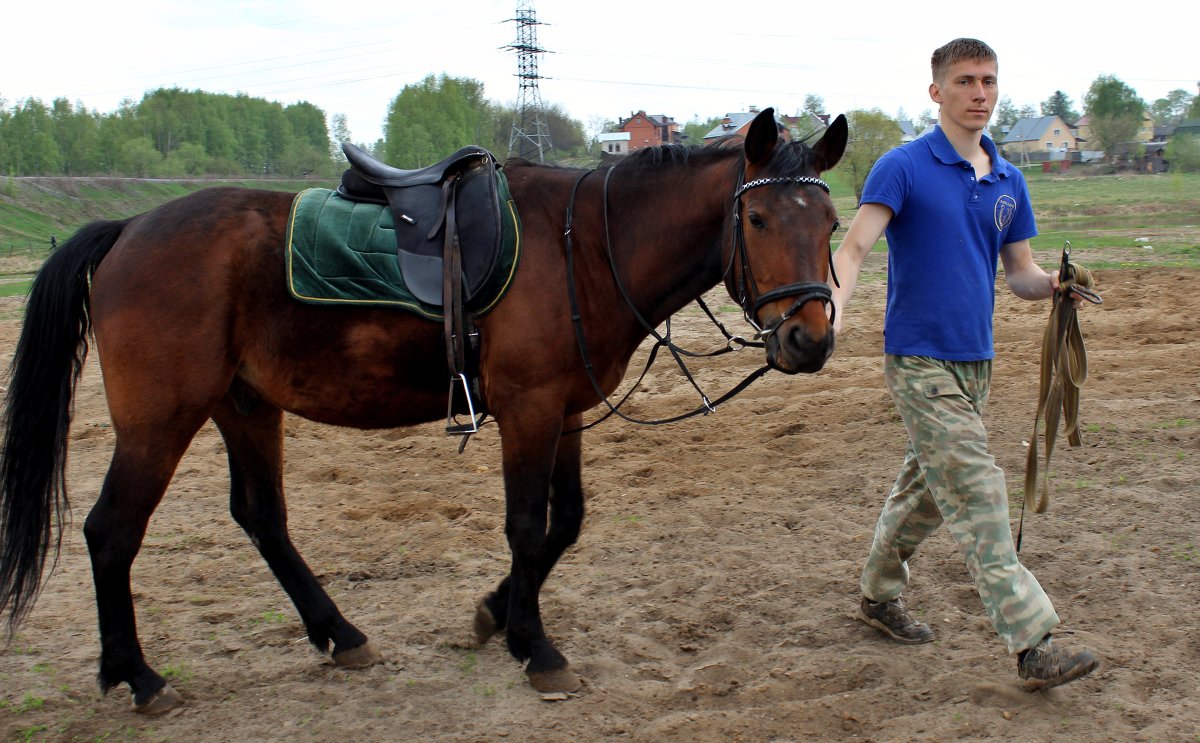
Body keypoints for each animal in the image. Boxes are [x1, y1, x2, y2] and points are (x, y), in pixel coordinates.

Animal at [0, 107, 849, 710]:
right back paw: (138, 675)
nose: (808, 340)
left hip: (243, 405)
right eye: (759, 219)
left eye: (831, 223)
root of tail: (129, 229)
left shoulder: (567, 409)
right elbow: (528, 525)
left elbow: (567, 522)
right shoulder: (530, 409)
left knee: (261, 517)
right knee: (112, 530)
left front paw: (496, 614)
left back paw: (338, 633)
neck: (580, 246)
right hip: (160, 419)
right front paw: (536, 647)